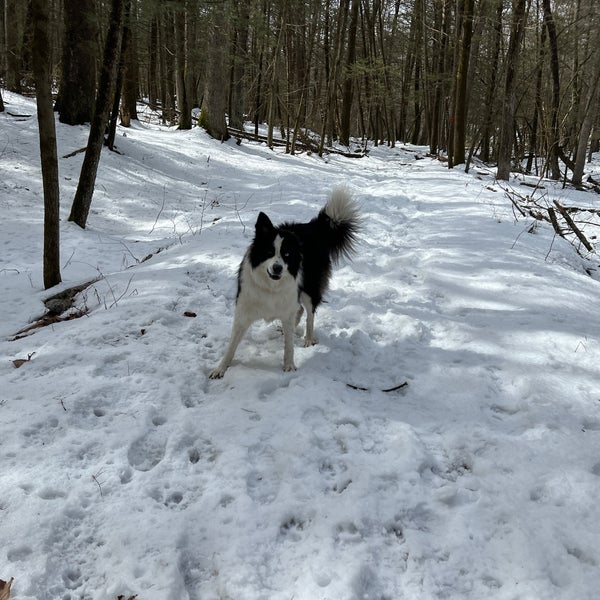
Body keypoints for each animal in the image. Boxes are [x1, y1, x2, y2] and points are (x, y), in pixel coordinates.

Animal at [210, 188, 360, 378]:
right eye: (269, 252)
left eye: (287, 254)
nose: (277, 268)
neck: (270, 287)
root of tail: (311, 227)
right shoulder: (244, 311)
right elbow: (231, 346)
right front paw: (220, 368)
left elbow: (289, 345)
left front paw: (289, 366)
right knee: (299, 310)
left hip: (309, 289)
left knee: (309, 314)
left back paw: (308, 338)